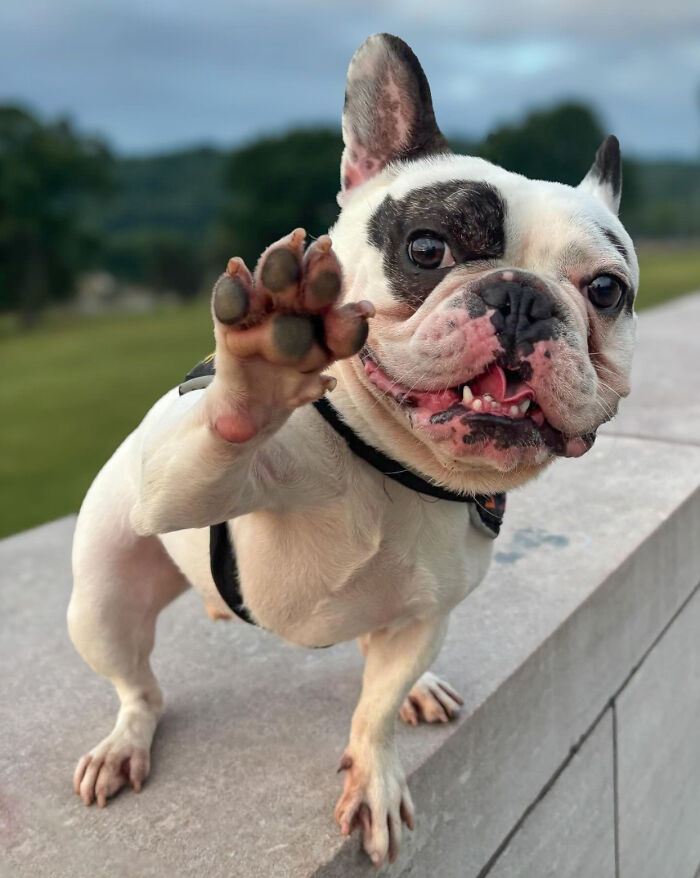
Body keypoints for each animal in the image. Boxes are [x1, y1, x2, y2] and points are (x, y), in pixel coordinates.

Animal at [68, 32, 636, 868]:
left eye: (605, 291)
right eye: (427, 248)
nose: (522, 297)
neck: (395, 465)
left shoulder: (425, 618)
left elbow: (377, 705)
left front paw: (374, 774)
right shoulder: (180, 489)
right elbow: (217, 443)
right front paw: (263, 365)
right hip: (103, 600)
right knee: (139, 686)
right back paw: (123, 742)